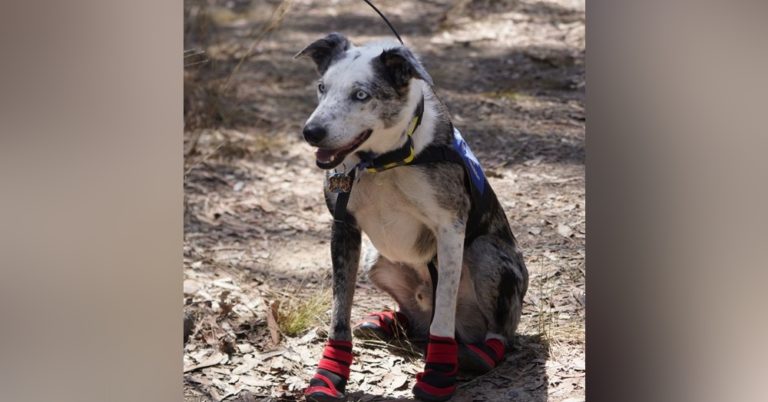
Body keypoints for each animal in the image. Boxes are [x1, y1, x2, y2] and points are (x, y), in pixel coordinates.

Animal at [296, 33, 528, 400]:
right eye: (322, 87)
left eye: (361, 95)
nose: (311, 132)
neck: (382, 161)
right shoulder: (344, 227)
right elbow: (339, 312)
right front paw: (329, 374)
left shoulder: (450, 229)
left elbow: (443, 312)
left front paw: (438, 374)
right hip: (374, 259)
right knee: (416, 319)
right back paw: (387, 322)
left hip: (486, 256)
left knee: (496, 331)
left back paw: (480, 353)